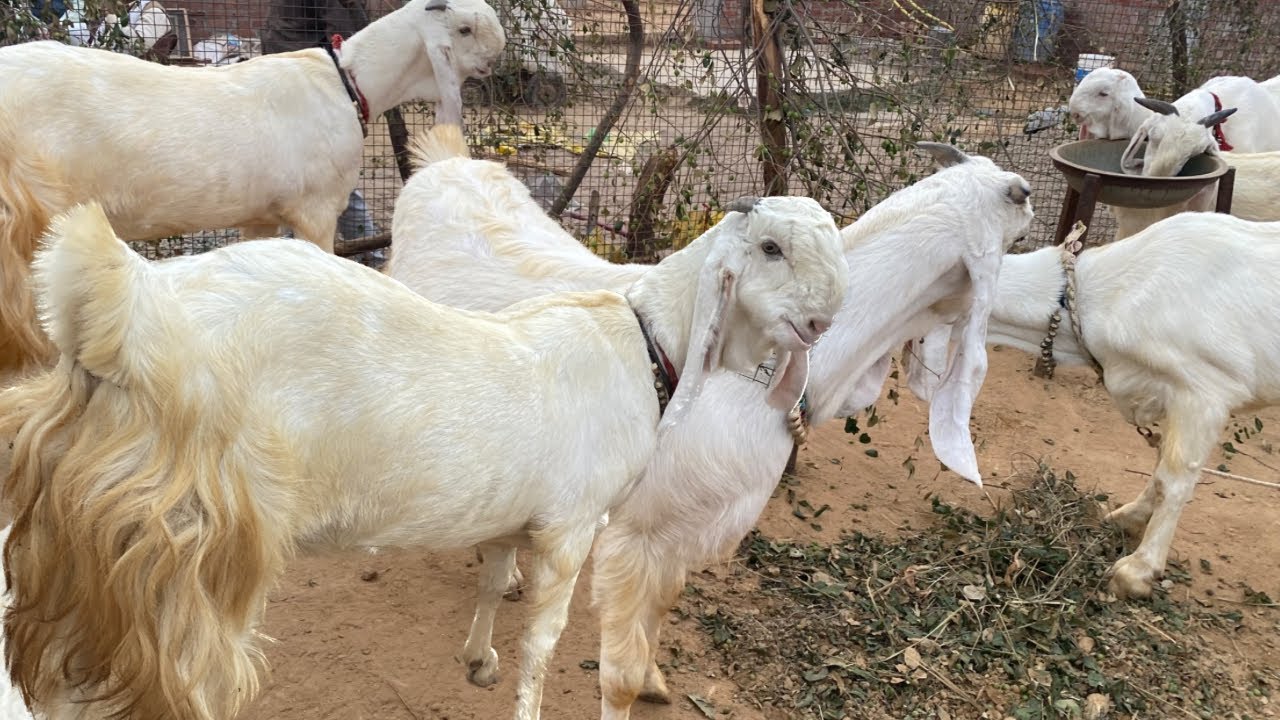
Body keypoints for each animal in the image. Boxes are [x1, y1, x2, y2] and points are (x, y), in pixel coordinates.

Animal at [0, 189, 845, 720]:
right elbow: (543, 643)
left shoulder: (514, 516)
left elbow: (494, 577)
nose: (825, 320)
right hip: (192, 553)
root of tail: (118, 312)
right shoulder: (572, 528)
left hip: (76, 556)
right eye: (771, 247)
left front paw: (476, 661)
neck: (643, 341)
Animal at [389, 127, 1034, 719]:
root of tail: (446, 162)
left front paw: (656, 676)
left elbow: (661, 613)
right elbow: (618, 676)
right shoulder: (634, 535)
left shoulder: (683, 534)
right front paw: (635, 681)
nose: (1028, 192)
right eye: (1005, 197)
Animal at [909, 211, 1280, 600]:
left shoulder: (1205, 391)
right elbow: (1159, 464)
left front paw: (1137, 571)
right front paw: (1128, 518)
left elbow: (1174, 478)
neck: (1111, 294)